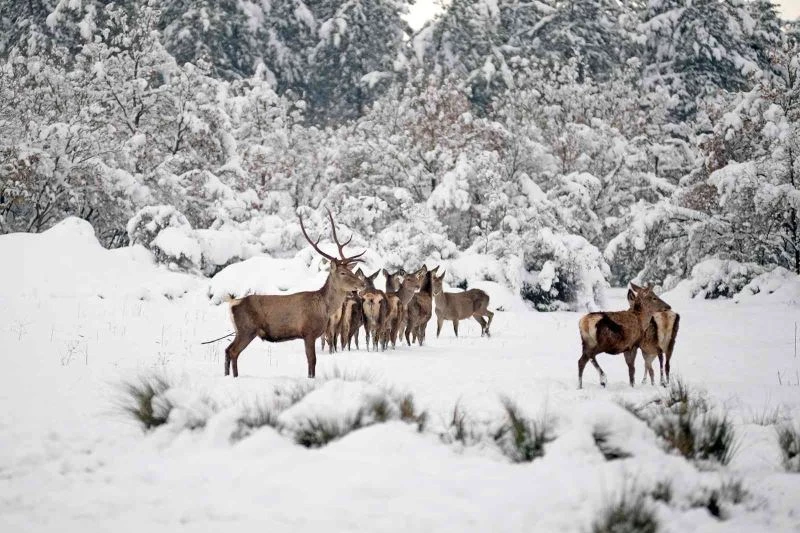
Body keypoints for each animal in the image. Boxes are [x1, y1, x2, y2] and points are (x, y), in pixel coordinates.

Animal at [223, 209, 366, 379]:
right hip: (246, 329)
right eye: (343, 273)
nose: (362, 284)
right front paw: (311, 378)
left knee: (227, 350)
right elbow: (312, 360)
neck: (324, 308)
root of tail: (232, 303)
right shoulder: (308, 332)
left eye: (351, 271)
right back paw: (235, 377)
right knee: (233, 351)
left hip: (240, 330)